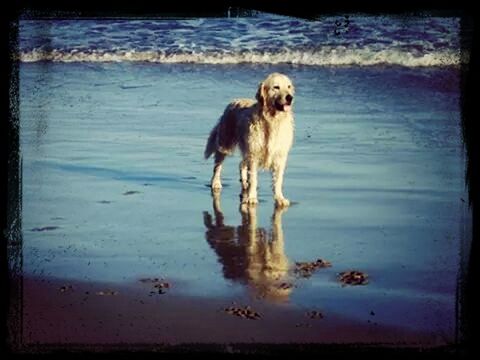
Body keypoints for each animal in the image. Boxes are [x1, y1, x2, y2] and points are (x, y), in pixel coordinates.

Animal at [204, 72, 294, 208]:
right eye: (276, 87)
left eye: (288, 86)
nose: (290, 97)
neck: (272, 120)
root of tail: (233, 101)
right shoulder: (254, 154)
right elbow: (254, 178)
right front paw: (251, 198)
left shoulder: (279, 155)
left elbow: (278, 180)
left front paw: (280, 198)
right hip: (226, 141)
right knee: (218, 164)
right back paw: (216, 183)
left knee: (241, 164)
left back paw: (244, 183)